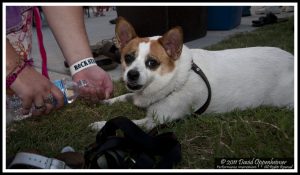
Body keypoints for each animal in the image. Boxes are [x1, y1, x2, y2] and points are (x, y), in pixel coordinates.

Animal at [88, 17, 292, 131]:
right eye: (128, 57)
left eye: (152, 63)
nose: (131, 75)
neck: (176, 79)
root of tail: (290, 58)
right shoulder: (137, 95)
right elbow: (126, 96)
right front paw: (107, 101)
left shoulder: (153, 122)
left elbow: (123, 121)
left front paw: (99, 124)